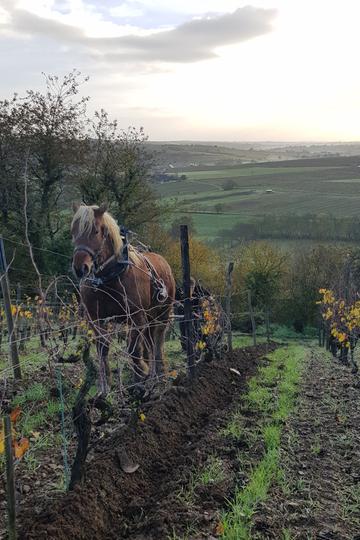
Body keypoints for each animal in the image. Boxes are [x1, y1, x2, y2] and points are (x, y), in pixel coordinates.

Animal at [70, 205, 176, 394]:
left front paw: (140, 377)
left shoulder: (137, 316)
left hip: (161, 314)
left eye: (96, 231)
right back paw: (153, 375)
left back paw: (158, 373)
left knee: (157, 341)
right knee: (149, 342)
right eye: (73, 232)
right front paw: (105, 387)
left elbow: (133, 349)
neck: (108, 279)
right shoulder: (96, 319)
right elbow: (103, 349)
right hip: (148, 318)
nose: (80, 268)